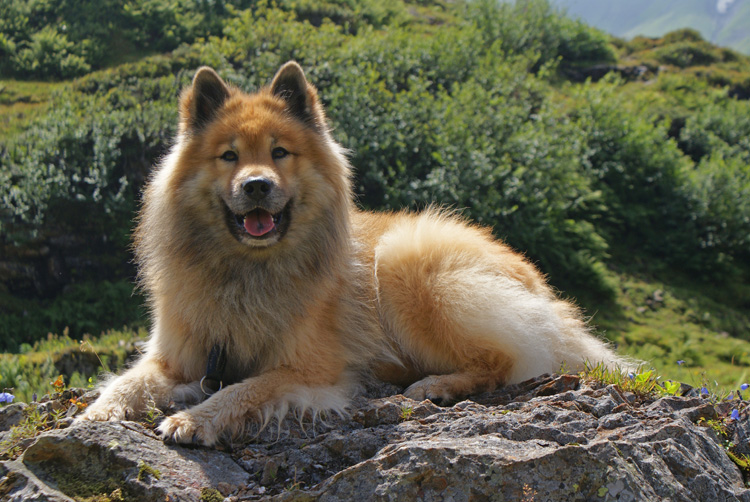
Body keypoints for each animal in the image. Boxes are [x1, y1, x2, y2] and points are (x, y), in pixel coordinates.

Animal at [81, 61, 636, 444]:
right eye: (229, 156)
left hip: (404, 265)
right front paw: (97, 414)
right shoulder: (177, 357)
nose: (257, 185)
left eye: (280, 152)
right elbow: (128, 381)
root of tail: (534, 278)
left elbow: (244, 388)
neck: (246, 271)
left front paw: (195, 418)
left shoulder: (309, 370)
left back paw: (436, 385)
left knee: (504, 358)